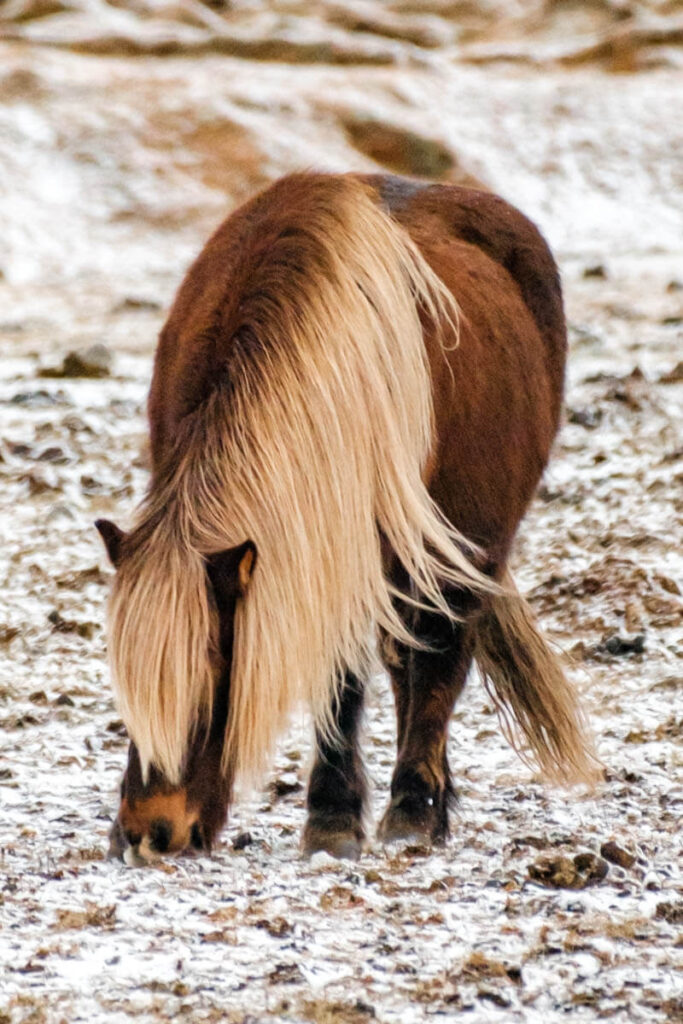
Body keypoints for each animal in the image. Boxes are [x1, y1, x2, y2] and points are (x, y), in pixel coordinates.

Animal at [97, 169, 598, 864]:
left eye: (216, 676)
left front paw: (337, 820)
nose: (150, 833)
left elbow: (351, 676)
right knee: (407, 661)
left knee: (440, 657)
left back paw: (417, 809)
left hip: (467, 543)